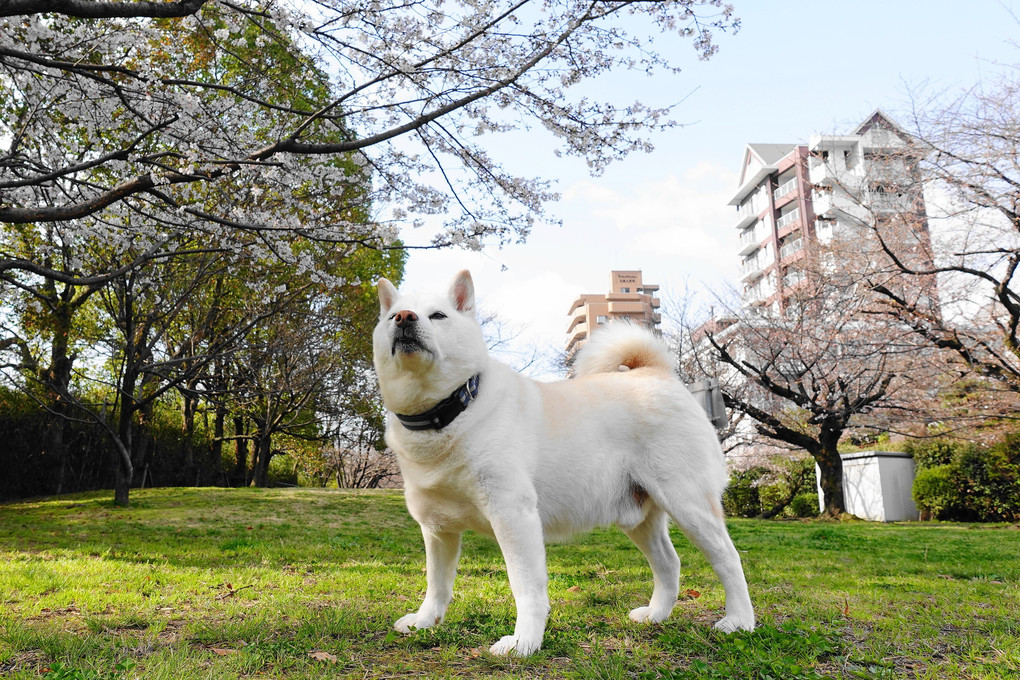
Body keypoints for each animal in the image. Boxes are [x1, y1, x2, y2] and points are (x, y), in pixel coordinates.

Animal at [371, 273, 754, 660]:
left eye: (438, 315)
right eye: (391, 318)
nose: (404, 318)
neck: (449, 415)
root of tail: (656, 374)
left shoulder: (514, 517)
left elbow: (525, 587)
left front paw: (524, 642)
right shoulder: (437, 529)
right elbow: (436, 584)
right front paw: (425, 621)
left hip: (689, 505)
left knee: (729, 560)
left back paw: (739, 621)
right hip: (638, 518)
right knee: (669, 563)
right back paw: (657, 614)